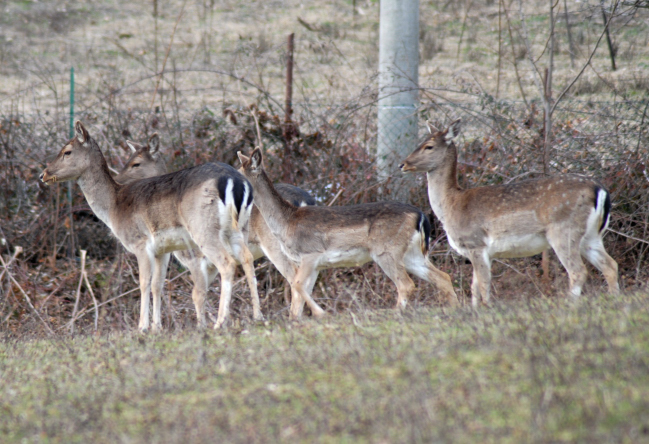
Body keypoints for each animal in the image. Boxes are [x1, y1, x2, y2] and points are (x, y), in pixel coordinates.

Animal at [39, 121, 260, 330]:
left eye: (67, 151)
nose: (44, 174)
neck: (113, 207)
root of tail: (236, 182)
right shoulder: (163, 249)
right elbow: (157, 284)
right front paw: (157, 327)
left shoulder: (140, 242)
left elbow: (144, 283)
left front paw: (142, 327)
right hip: (239, 229)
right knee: (247, 258)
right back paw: (258, 317)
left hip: (204, 229)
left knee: (227, 263)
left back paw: (220, 323)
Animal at [115, 136, 322, 320]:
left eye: (136, 163)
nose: (118, 179)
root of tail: (306, 201)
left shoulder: (195, 256)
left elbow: (198, 292)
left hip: (274, 245)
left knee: (293, 277)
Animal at [237, 149, 456, 320]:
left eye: (240, 172)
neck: (287, 221)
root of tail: (420, 216)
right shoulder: (312, 263)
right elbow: (302, 288)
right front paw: (300, 319)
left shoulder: (311, 253)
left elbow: (297, 284)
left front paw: (321, 313)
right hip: (411, 253)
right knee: (443, 277)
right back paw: (456, 310)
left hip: (386, 251)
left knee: (406, 284)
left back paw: (396, 315)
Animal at [400, 118, 616, 306]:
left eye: (429, 146)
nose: (403, 164)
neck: (451, 204)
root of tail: (600, 190)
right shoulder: (478, 251)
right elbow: (474, 287)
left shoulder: (475, 242)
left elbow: (484, 286)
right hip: (591, 236)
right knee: (610, 265)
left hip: (564, 230)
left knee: (578, 272)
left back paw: (569, 305)